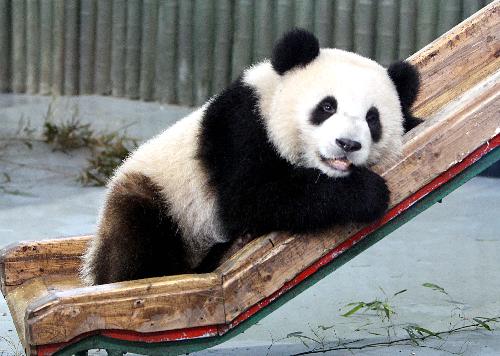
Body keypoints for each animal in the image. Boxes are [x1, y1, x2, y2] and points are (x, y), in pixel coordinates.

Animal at [81, 29, 422, 286]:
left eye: (372, 119)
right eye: (327, 106)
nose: (347, 144)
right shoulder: (241, 126)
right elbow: (250, 196)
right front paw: (367, 193)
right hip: (161, 197)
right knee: (135, 237)